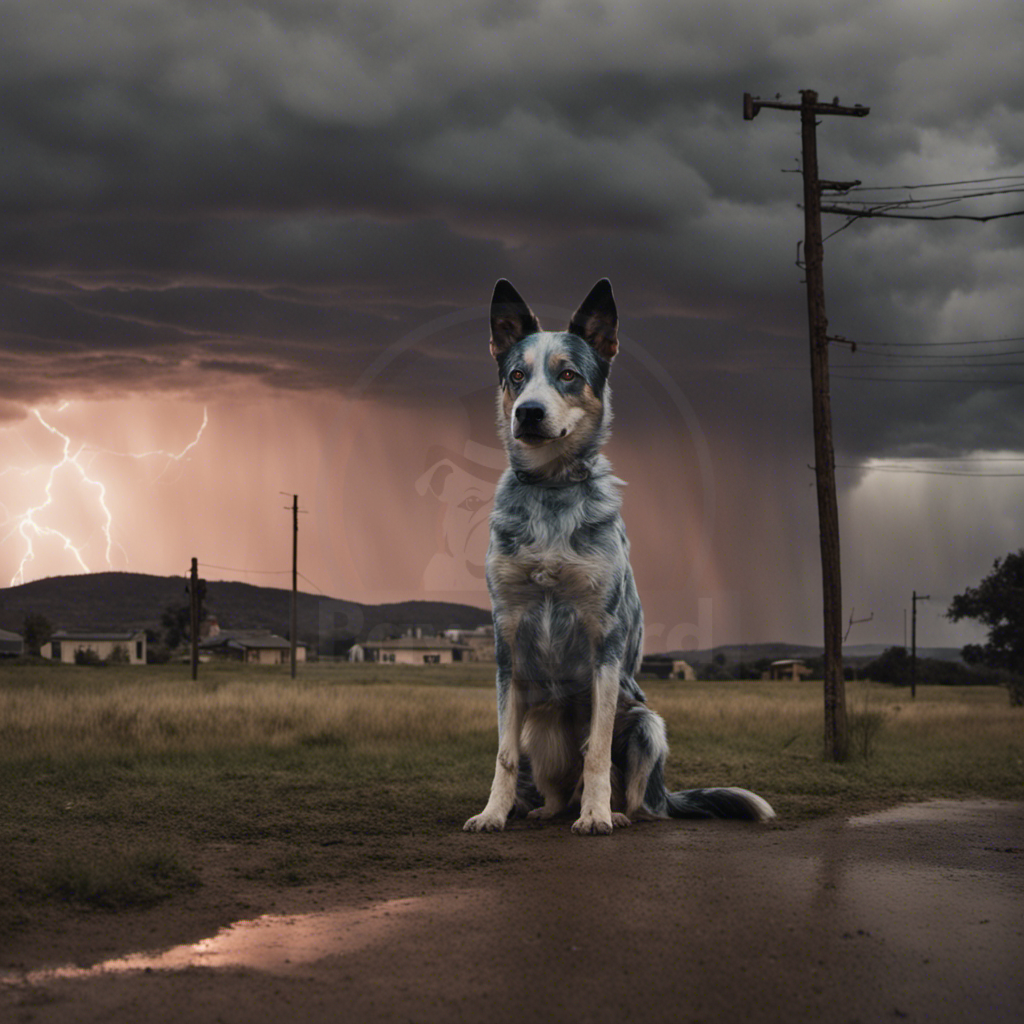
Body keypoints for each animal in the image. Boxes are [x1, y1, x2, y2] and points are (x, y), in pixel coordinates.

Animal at [464, 278, 774, 831]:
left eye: (568, 374)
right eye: (517, 376)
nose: (528, 412)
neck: (552, 491)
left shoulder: (604, 642)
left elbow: (597, 747)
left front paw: (596, 816)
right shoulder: (507, 643)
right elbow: (504, 753)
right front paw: (493, 814)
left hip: (648, 725)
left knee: (638, 798)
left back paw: (616, 812)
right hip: (541, 723)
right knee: (550, 783)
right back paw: (546, 809)